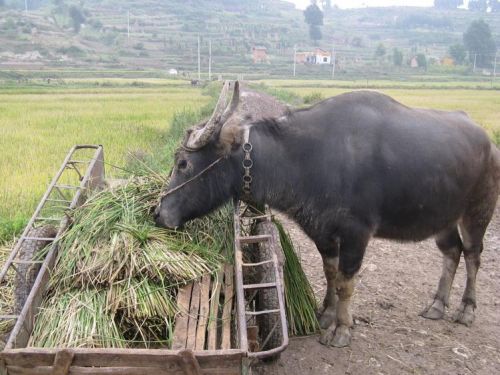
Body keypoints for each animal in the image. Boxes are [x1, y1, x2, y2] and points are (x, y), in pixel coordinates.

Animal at [154, 82, 498, 350]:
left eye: (183, 162)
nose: (158, 213)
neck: (309, 156)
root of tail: (488, 143)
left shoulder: (357, 234)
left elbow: (346, 282)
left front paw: (341, 329)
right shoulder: (323, 231)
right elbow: (330, 273)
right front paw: (326, 315)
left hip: (477, 213)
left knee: (473, 255)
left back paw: (466, 309)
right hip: (444, 219)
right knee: (452, 252)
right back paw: (437, 304)